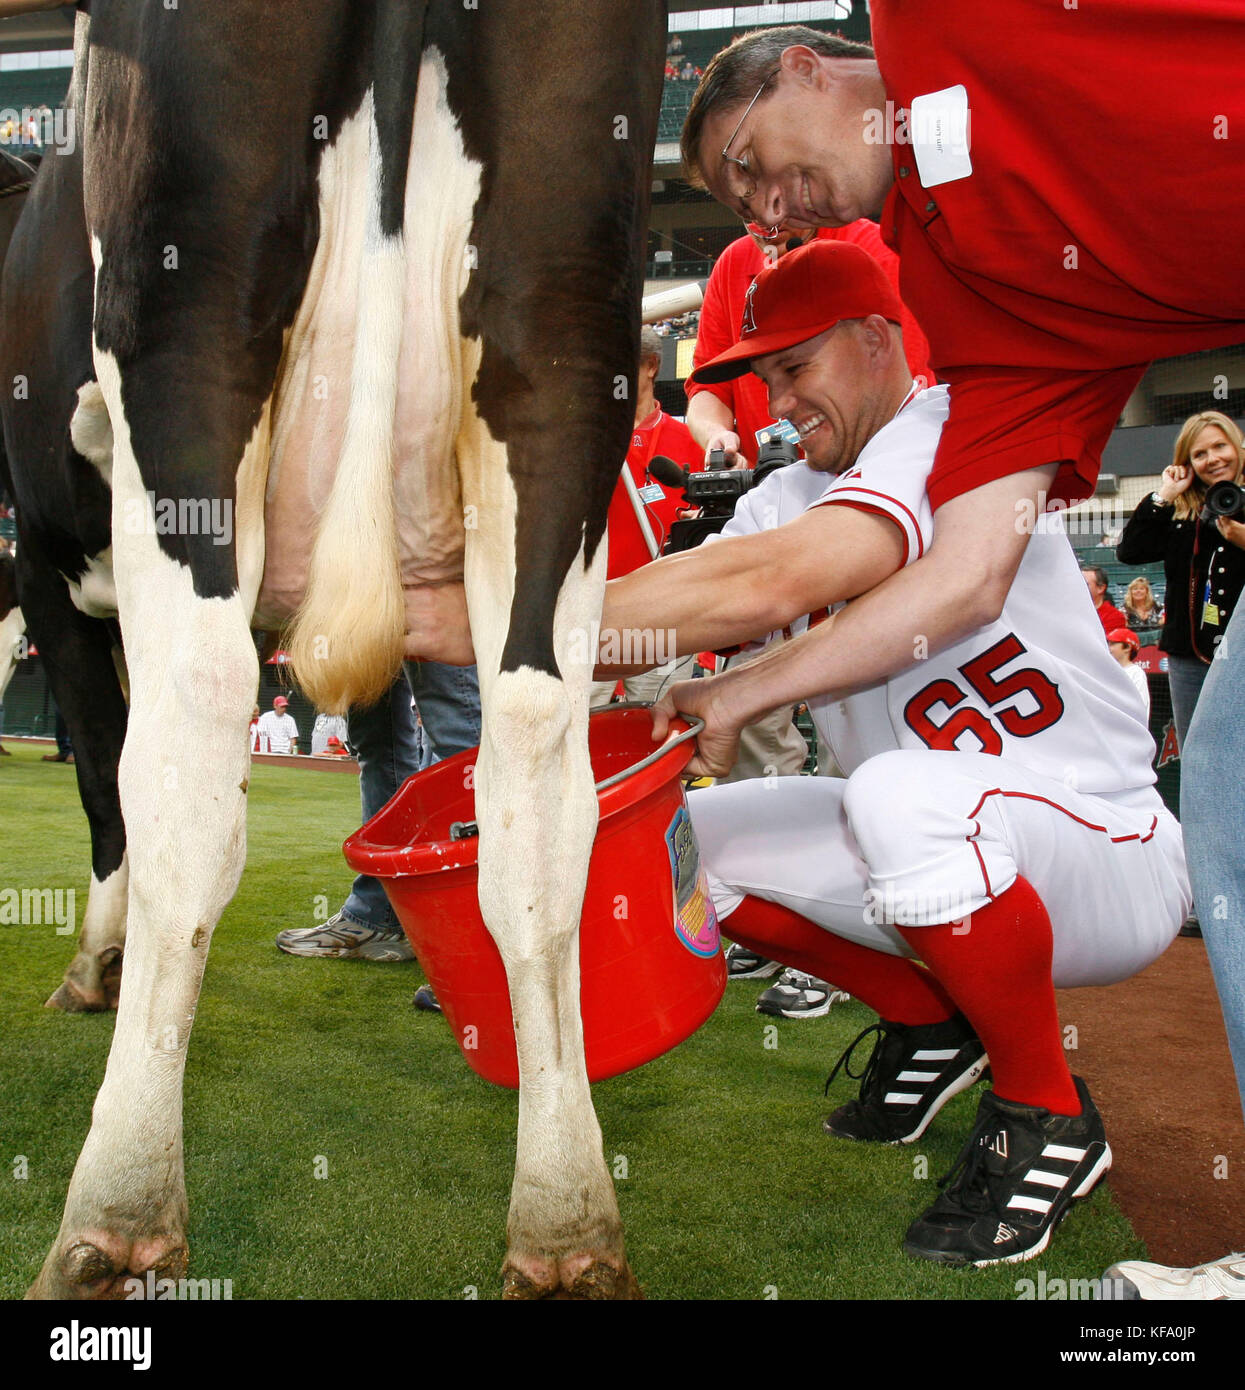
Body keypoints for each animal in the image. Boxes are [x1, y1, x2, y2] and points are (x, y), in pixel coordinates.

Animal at [4, 2, 666, 1301]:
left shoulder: (46, 574)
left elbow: (103, 777)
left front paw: (97, 964)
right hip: (564, 322)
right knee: (534, 770)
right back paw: (566, 1217)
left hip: (186, 305)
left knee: (193, 741)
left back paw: (115, 1211)